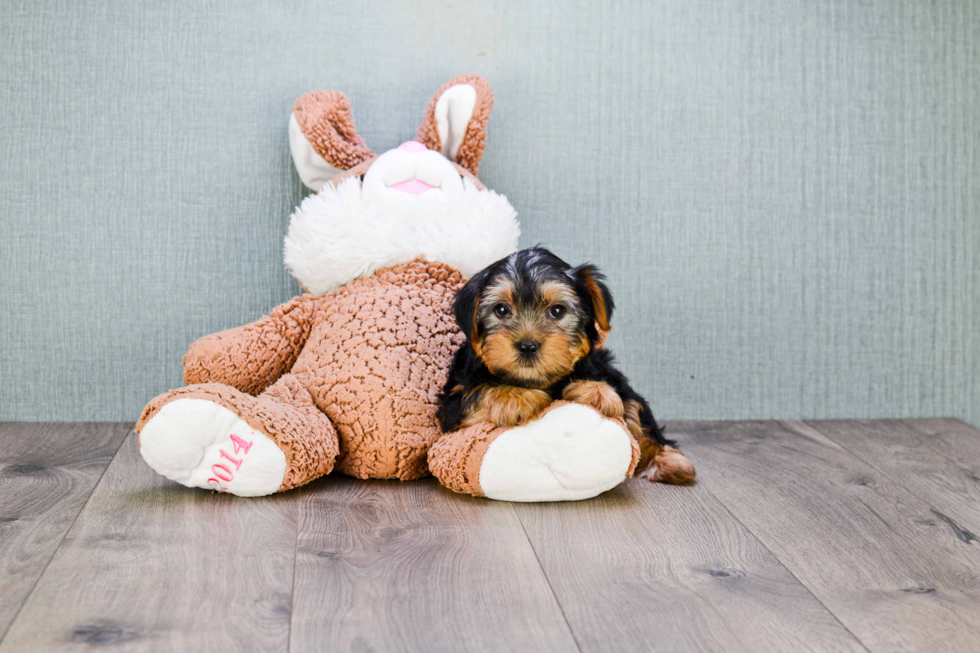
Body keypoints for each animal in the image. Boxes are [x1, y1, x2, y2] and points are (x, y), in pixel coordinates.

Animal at [436, 247, 696, 482]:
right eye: (501, 309)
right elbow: (478, 392)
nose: (527, 346)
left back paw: (672, 462)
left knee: (638, 411)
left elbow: (628, 405)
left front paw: (596, 392)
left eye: (557, 311)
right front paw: (519, 398)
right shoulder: (453, 404)